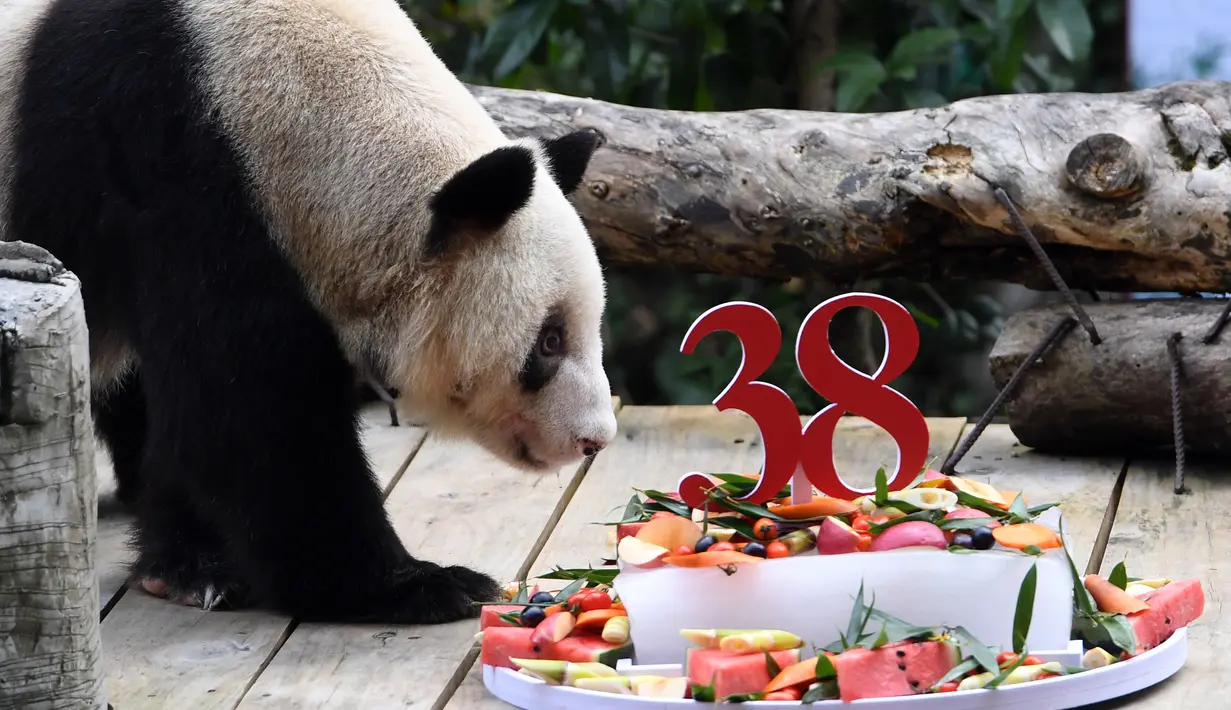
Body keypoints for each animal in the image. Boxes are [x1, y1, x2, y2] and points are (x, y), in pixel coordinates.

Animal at [0, 0, 619, 623]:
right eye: (549, 341)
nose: (594, 440)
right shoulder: (172, 172)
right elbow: (251, 415)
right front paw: (417, 584)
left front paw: (185, 563)